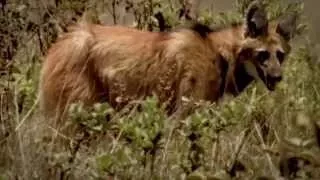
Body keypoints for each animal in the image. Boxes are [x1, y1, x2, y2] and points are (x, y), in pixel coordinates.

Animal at [39, 1, 298, 122]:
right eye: (263, 54)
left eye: (280, 55)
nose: (277, 77)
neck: (221, 53)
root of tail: (59, 44)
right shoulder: (185, 111)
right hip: (76, 111)